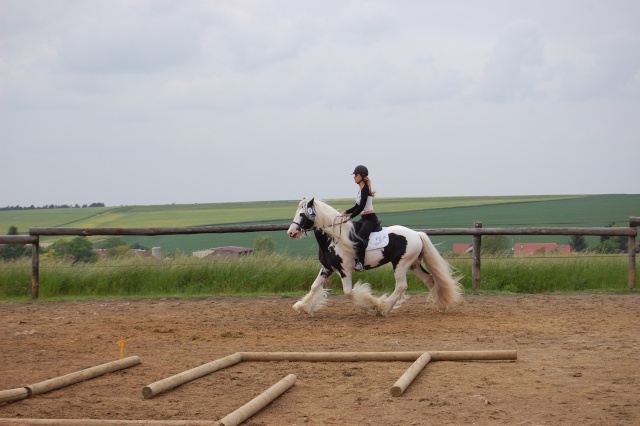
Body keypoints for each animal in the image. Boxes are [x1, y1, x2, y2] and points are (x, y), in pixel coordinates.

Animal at [284, 197, 460, 316]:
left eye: (302, 214)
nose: (291, 232)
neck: (334, 239)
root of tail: (416, 234)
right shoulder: (327, 268)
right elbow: (314, 287)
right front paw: (301, 306)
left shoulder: (345, 270)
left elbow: (349, 292)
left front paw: (373, 305)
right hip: (414, 264)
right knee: (429, 280)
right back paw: (440, 305)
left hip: (401, 264)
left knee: (401, 286)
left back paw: (384, 308)